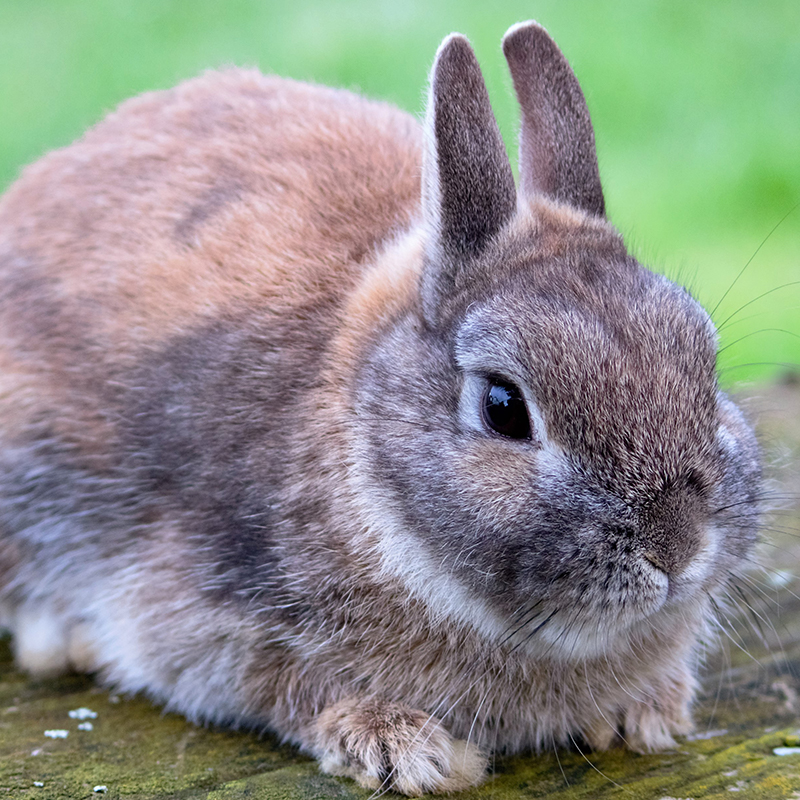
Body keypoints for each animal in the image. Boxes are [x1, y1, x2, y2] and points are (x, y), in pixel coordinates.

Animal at [0, 20, 764, 800]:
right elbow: (289, 687)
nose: (676, 547)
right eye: (503, 407)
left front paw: (649, 713)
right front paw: (407, 749)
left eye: (704, 364)